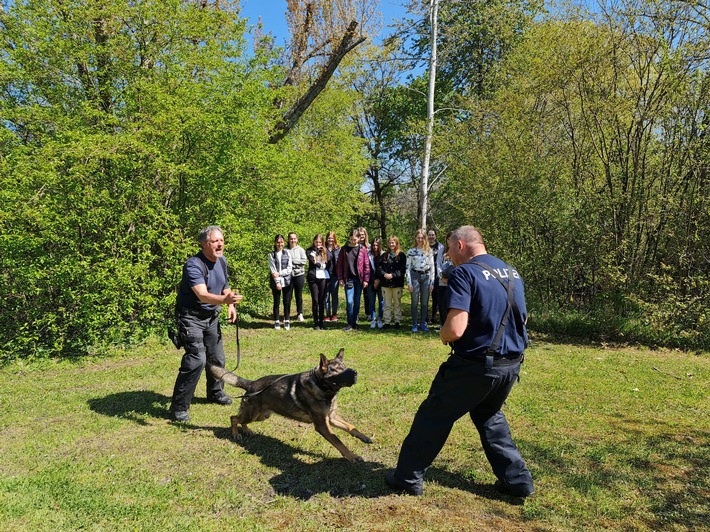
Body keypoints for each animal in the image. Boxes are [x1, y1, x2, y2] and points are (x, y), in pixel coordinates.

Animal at [209, 350, 372, 462]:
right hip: (253, 414)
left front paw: (364, 437)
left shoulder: (331, 417)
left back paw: (246, 430)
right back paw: (235, 434)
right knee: (234, 418)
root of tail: (251, 384)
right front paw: (352, 456)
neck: (321, 386)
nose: (355, 373)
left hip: (261, 416)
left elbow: (350, 426)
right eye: (338, 370)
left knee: (241, 420)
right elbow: (338, 441)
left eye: (345, 366)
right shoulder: (322, 425)